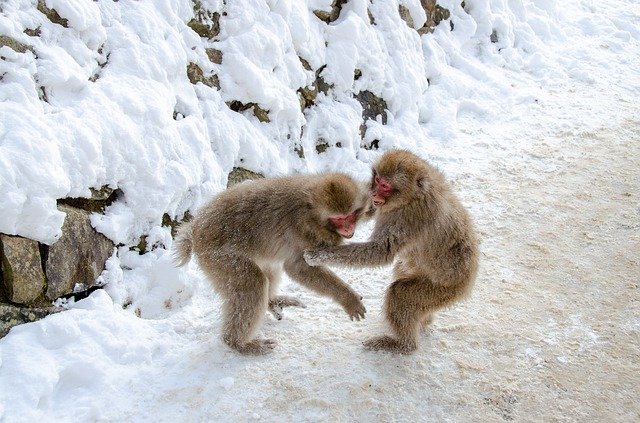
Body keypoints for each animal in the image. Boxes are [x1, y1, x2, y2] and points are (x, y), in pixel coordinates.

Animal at [174, 174, 370, 356]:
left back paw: (272, 301)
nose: (348, 229)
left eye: (350, 216)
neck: (311, 213)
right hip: (218, 257)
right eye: (338, 219)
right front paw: (348, 298)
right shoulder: (303, 233)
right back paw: (239, 343)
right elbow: (299, 268)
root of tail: (195, 227)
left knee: (268, 269)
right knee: (253, 282)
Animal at [302, 149, 478, 354]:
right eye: (377, 180)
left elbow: (381, 251)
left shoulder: (407, 218)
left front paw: (318, 256)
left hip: (444, 290)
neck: (412, 196)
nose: (373, 192)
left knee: (399, 294)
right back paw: (424, 321)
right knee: (403, 270)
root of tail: (469, 280)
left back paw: (403, 344)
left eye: (385, 186)